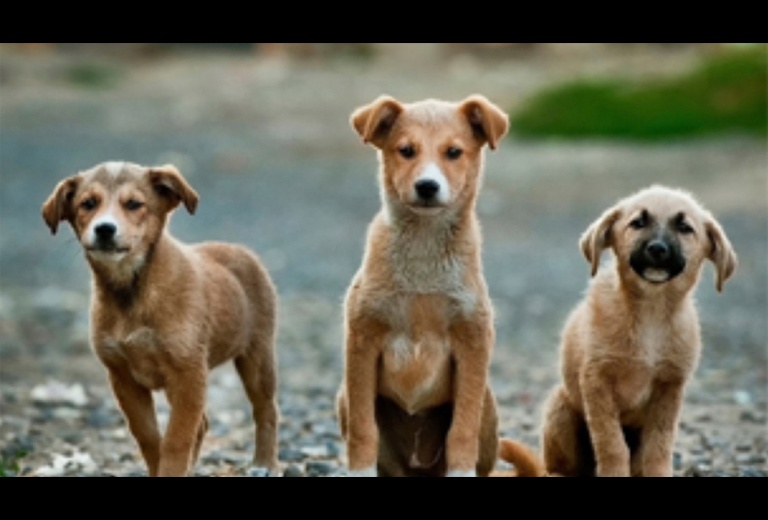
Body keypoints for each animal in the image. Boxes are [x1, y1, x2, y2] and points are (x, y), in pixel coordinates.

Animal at [40, 161, 280, 476]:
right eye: (88, 204)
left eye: (134, 204)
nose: (104, 229)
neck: (133, 291)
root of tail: (240, 250)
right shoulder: (123, 377)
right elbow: (149, 437)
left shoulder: (188, 373)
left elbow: (176, 439)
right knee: (203, 424)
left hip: (257, 357)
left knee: (266, 410)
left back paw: (264, 463)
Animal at [336, 93, 540, 476]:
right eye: (406, 150)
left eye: (454, 152)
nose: (427, 186)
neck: (423, 251)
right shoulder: (362, 338)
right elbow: (363, 428)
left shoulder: (473, 341)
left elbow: (462, 430)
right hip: (345, 396)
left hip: (488, 404)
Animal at [540, 185, 736, 478]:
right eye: (638, 223)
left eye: (685, 228)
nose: (657, 249)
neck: (650, 313)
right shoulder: (597, 381)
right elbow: (611, 442)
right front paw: (613, 471)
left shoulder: (670, 386)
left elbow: (659, 445)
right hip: (559, 408)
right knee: (562, 466)